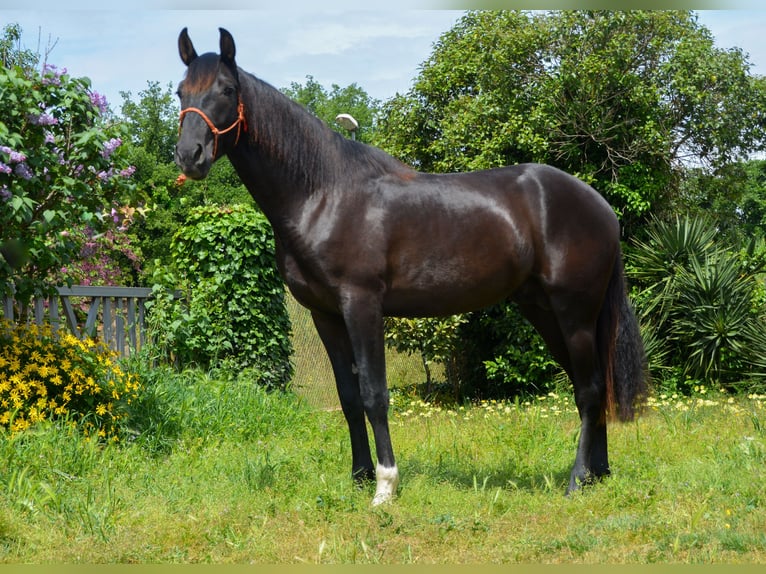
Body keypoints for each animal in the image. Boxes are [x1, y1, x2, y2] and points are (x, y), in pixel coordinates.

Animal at [174, 27, 649, 505]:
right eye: (181, 92)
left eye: (227, 89)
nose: (189, 155)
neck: (323, 194)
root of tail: (601, 206)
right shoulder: (325, 314)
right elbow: (348, 397)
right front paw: (360, 476)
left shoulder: (362, 304)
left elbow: (373, 393)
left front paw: (385, 486)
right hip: (545, 311)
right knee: (592, 385)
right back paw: (598, 473)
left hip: (575, 314)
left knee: (589, 389)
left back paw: (576, 480)